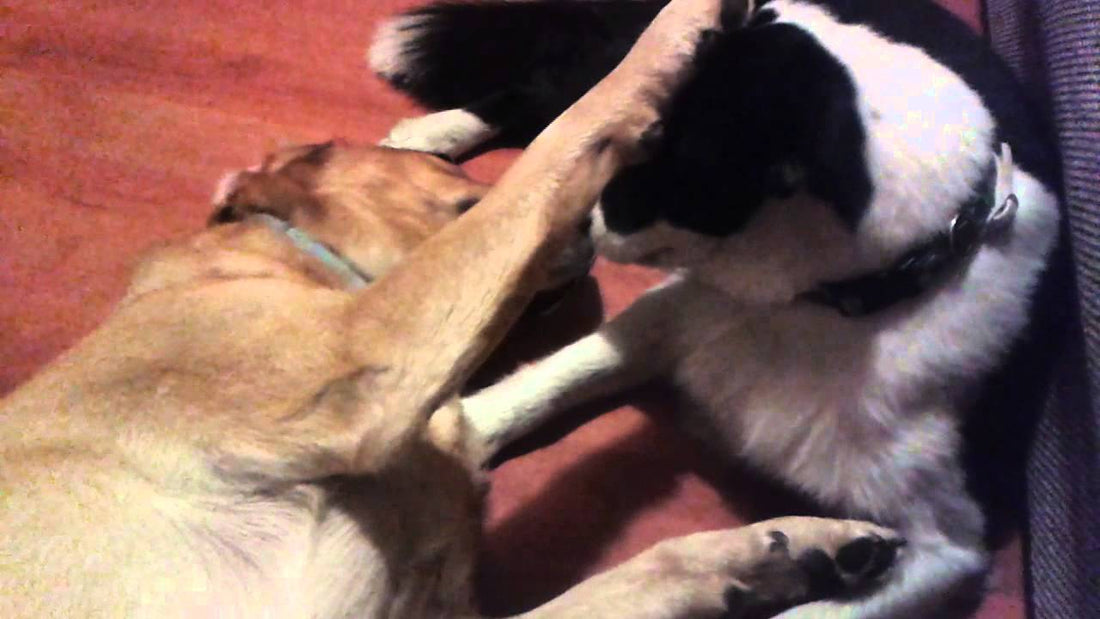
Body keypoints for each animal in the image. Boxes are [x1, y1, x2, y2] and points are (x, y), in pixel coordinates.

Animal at [0, 2, 893, 615]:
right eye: (449, 173)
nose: (594, 235)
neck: (294, 261)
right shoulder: (361, 355)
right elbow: (566, 135)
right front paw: (678, 30)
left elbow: (642, 562)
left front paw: (787, 554)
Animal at [371, 2, 1064, 615]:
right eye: (636, 142)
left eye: (655, 161)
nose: (574, 232)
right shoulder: (676, 311)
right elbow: (553, 377)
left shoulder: (945, 548)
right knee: (554, 100)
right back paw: (436, 132)